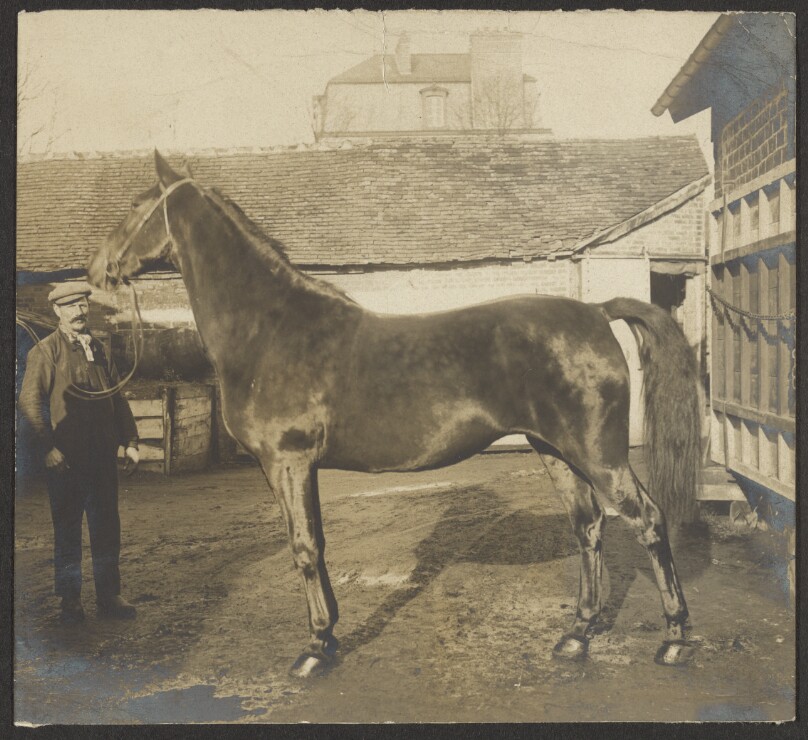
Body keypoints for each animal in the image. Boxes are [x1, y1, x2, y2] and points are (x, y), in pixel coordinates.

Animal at [87, 151, 702, 678]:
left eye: (136, 207)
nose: (96, 271)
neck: (270, 329)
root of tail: (596, 311)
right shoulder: (298, 467)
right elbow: (315, 543)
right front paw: (330, 636)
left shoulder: (288, 461)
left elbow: (304, 548)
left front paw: (315, 648)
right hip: (555, 451)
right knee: (588, 526)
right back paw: (577, 635)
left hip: (598, 456)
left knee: (647, 520)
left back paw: (674, 639)